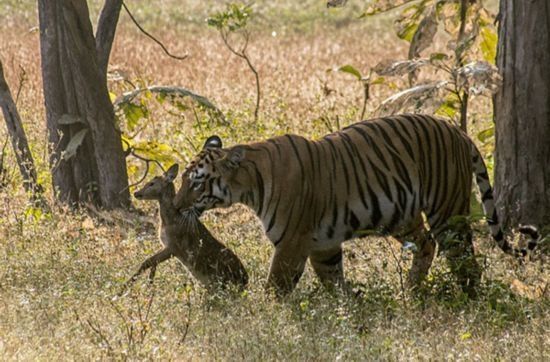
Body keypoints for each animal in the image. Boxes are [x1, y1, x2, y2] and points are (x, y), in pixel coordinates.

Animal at [175, 114, 540, 296]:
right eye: (183, 180)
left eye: (197, 182)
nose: (176, 207)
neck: (249, 185)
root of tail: (458, 131)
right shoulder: (323, 244)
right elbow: (334, 280)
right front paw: (346, 310)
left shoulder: (292, 243)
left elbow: (275, 287)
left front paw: (264, 319)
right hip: (401, 215)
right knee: (426, 244)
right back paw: (410, 293)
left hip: (446, 211)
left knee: (464, 260)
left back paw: (467, 299)